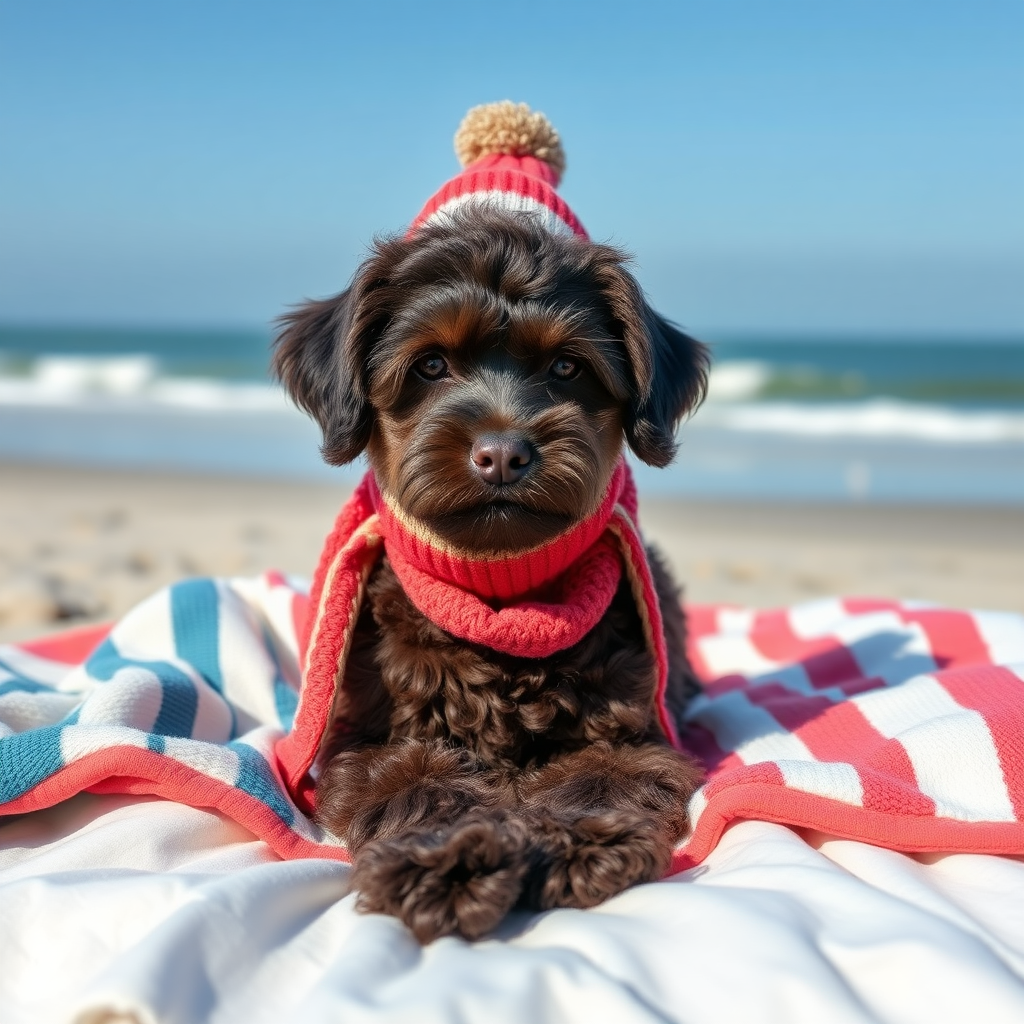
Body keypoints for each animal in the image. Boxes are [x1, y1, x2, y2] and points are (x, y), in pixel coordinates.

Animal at [272, 103, 712, 942]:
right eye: (431, 365)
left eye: (568, 367)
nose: (503, 454)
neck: (500, 598)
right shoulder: (367, 741)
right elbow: (418, 783)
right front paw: (448, 861)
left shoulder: (628, 730)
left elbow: (598, 776)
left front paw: (580, 841)